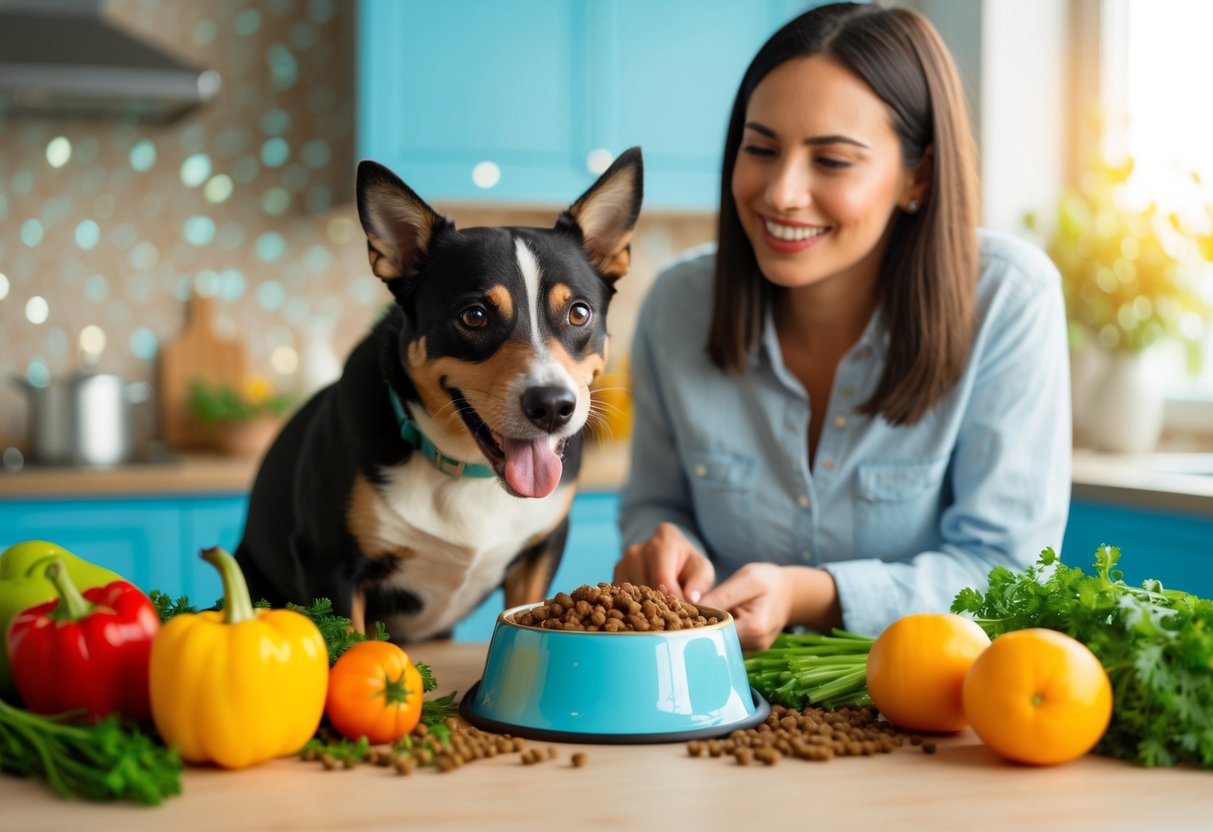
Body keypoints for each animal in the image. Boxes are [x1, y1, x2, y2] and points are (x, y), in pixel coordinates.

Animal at [237, 146, 650, 640]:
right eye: (474, 315)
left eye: (579, 313)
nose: (552, 406)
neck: (467, 472)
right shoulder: (330, 566)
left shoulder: (541, 548)